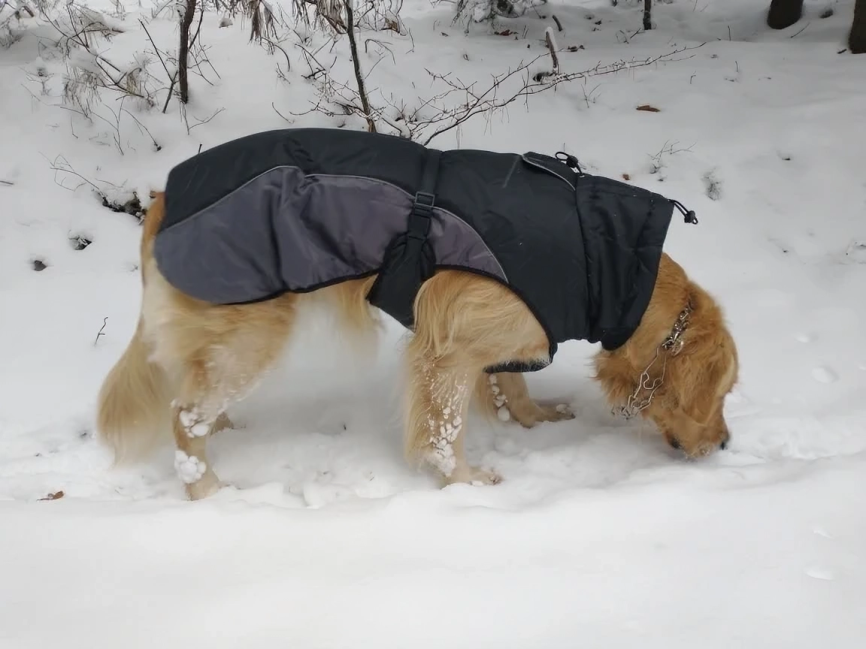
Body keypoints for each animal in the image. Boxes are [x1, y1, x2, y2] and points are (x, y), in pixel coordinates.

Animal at [98, 190, 740, 498]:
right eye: (724, 393)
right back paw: (207, 489)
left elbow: (512, 383)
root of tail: (164, 194)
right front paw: (462, 483)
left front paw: (534, 418)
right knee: (184, 415)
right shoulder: (449, 350)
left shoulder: (510, 330)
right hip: (252, 332)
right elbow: (443, 428)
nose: (727, 445)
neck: (605, 260)